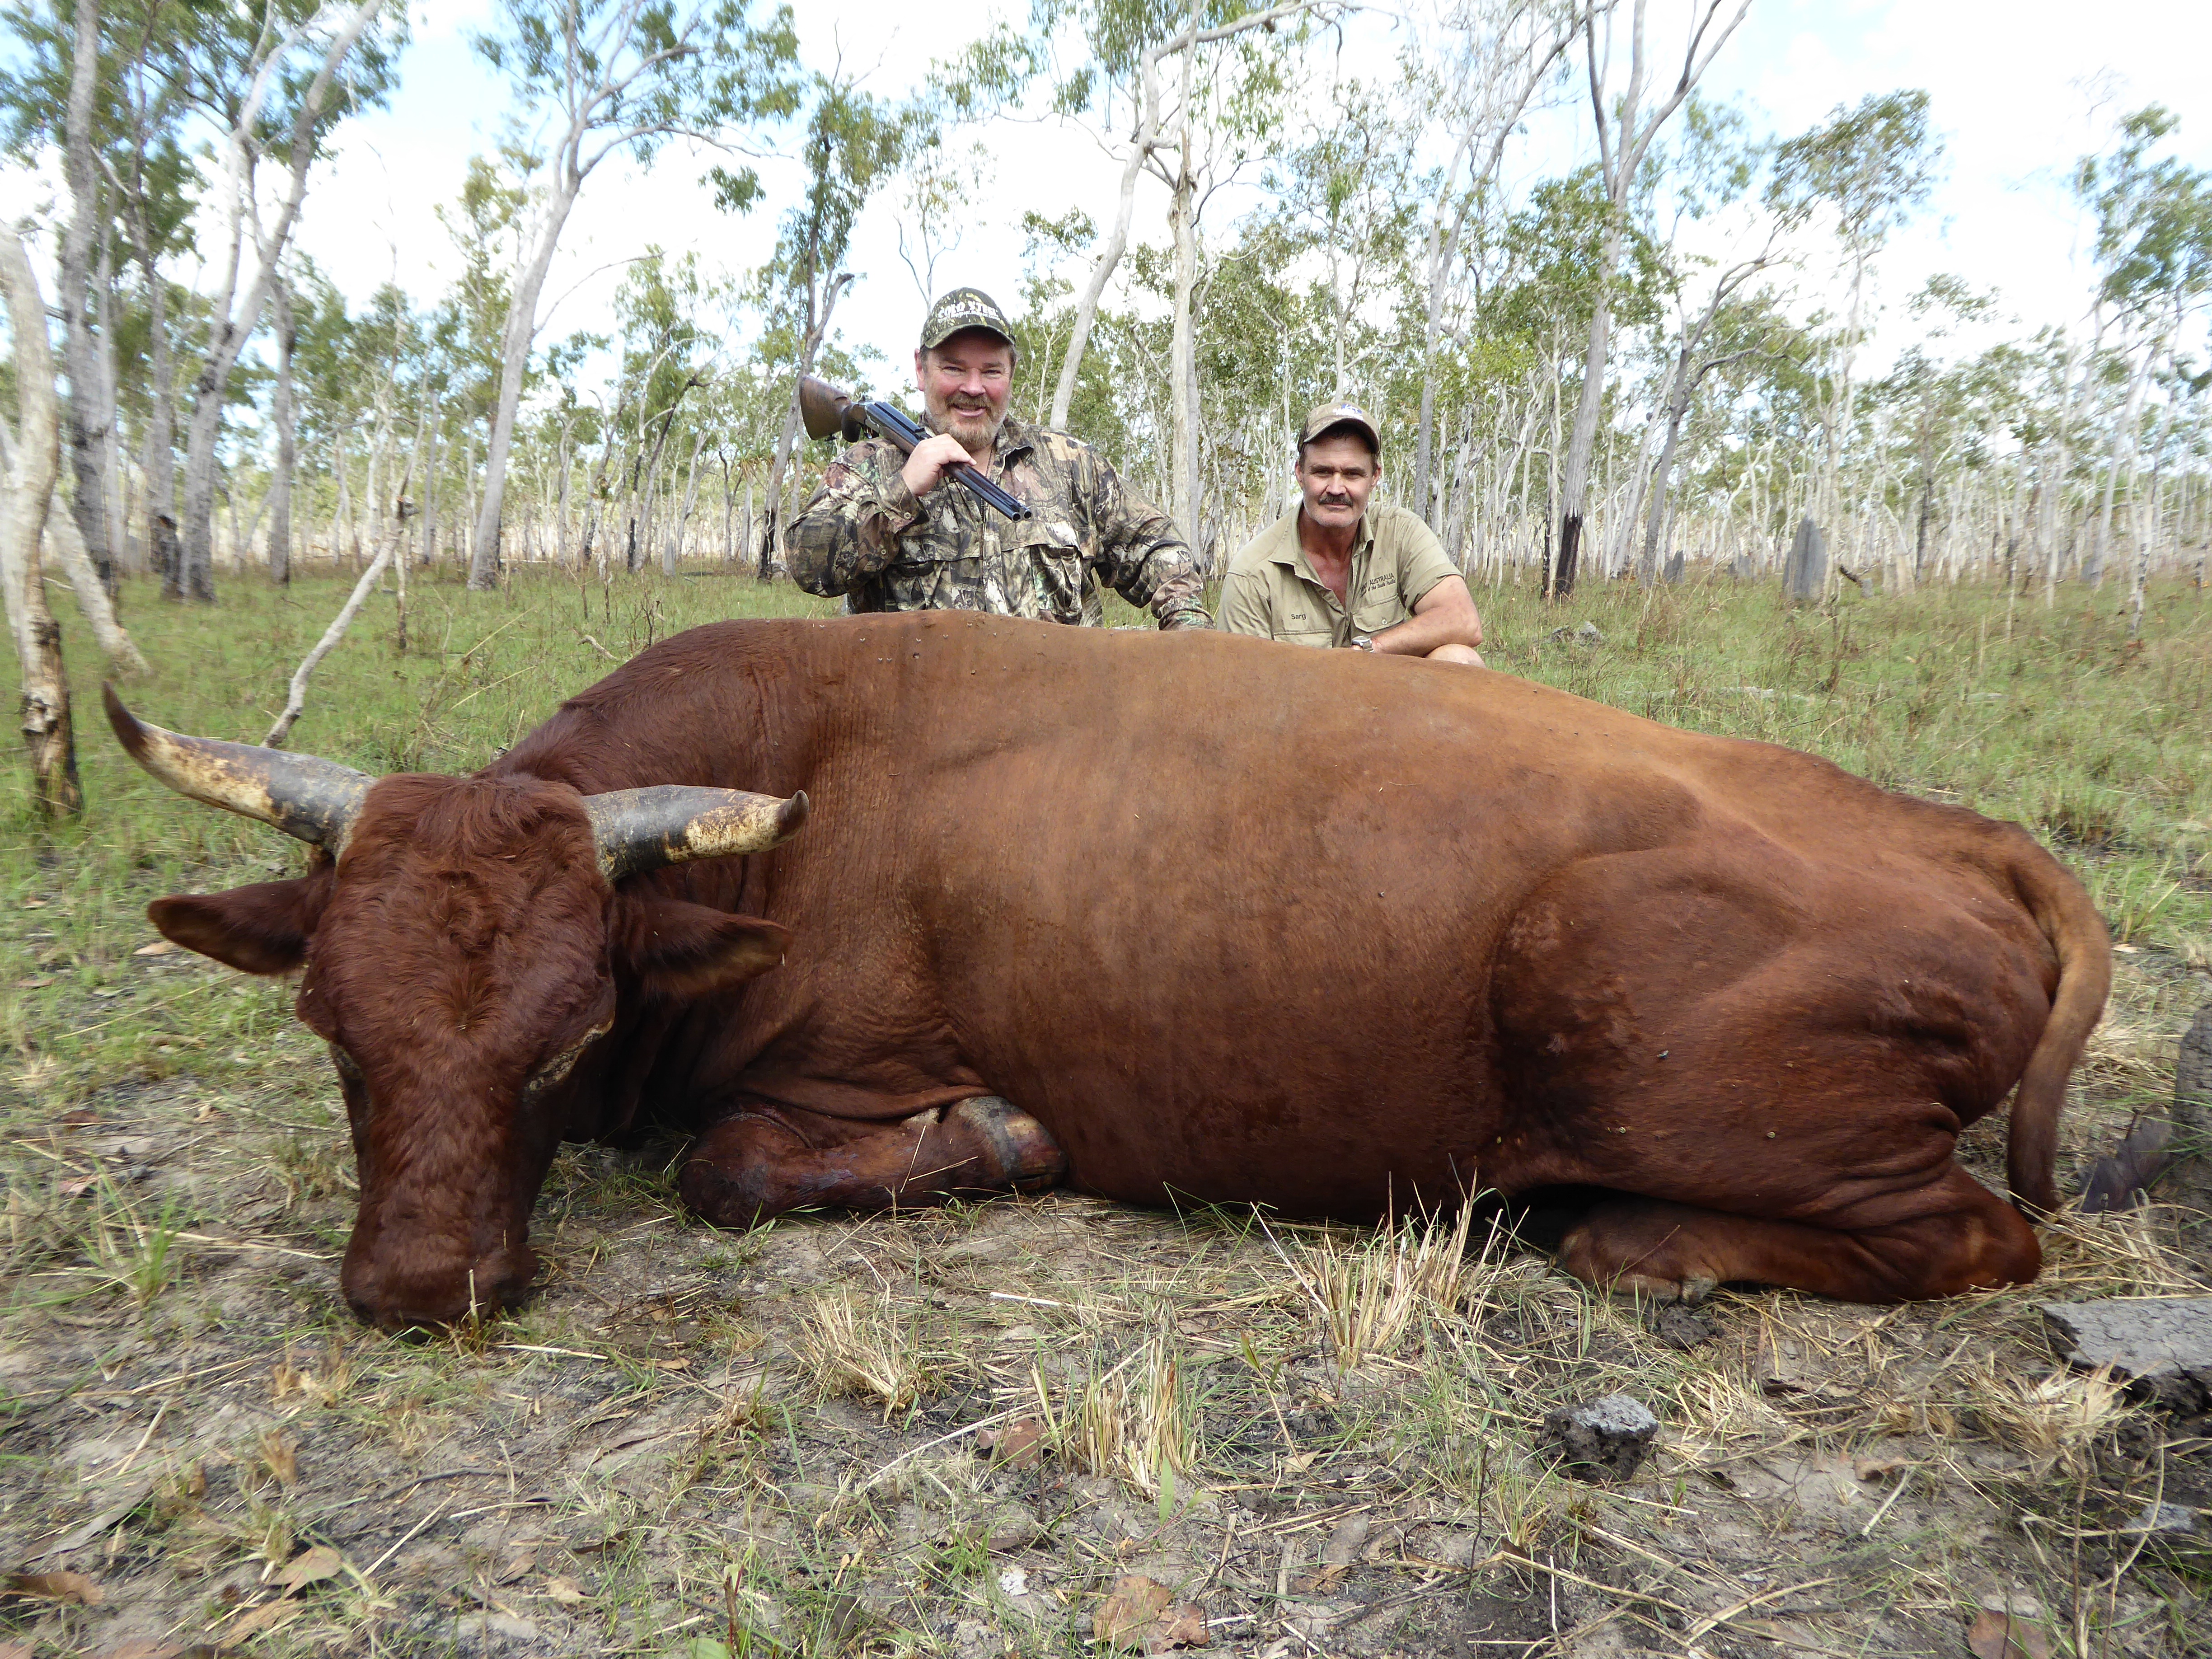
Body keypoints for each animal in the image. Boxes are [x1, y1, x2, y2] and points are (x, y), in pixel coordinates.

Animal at [112, 610, 2114, 1327]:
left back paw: (1640, 1237)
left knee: (1974, 1236)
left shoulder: (832, 1082)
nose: (416, 1285)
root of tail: (1956, 833)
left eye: (559, 1034)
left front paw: (996, 1142)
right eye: (333, 1032)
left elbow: (734, 1168)